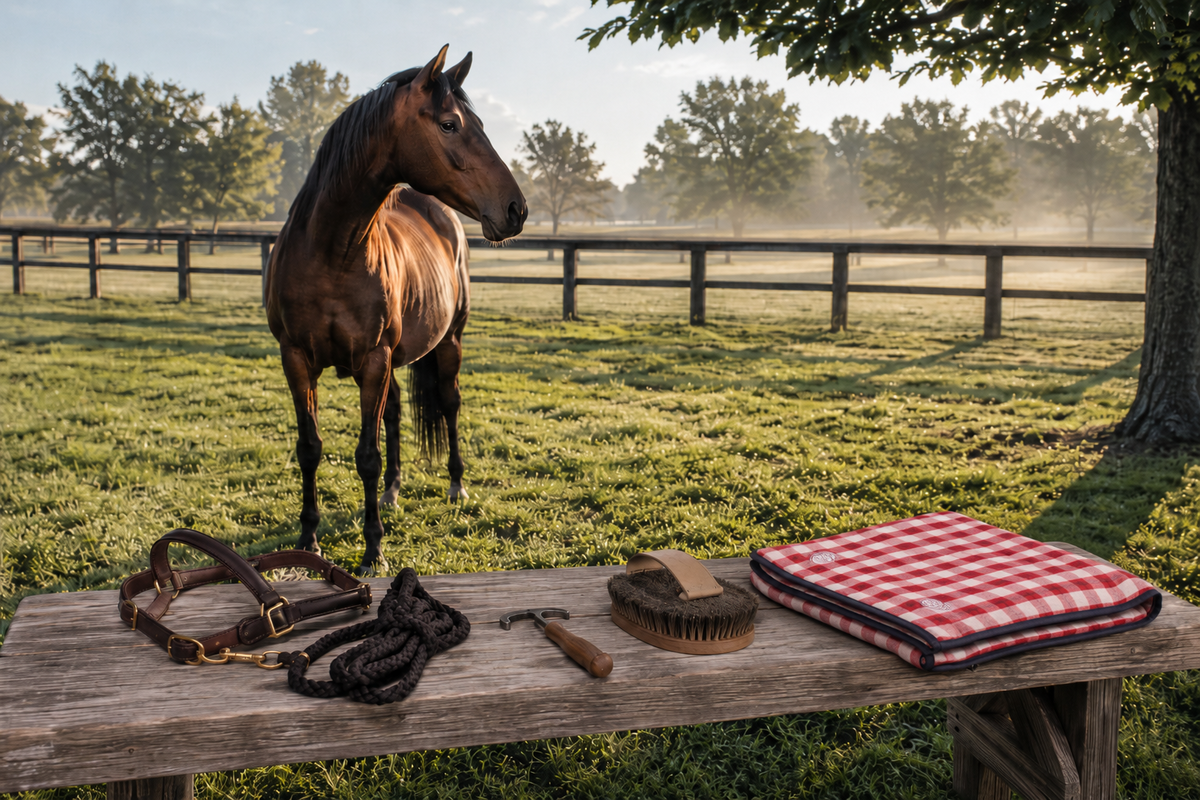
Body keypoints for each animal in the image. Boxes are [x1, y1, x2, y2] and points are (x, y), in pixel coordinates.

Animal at [265, 46, 526, 574]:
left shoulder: (373, 361)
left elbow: (366, 455)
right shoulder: (296, 360)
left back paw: (456, 485)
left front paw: (373, 552)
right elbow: (310, 448)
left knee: (448, 403)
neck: (330, 253)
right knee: (395, 414)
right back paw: (390, 495)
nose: (516, 209)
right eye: (449, 124)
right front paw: (308, 541)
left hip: (448, 344)